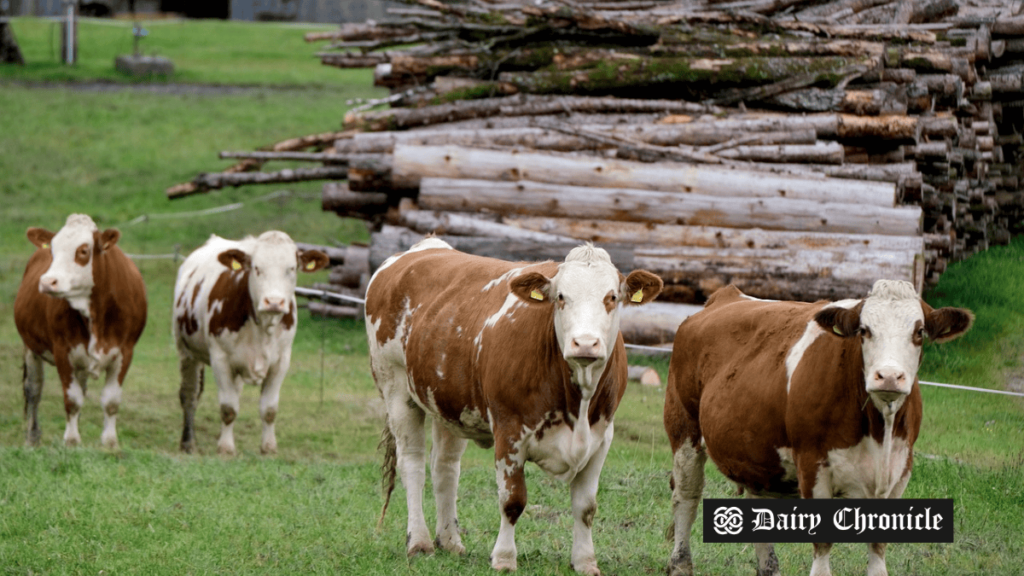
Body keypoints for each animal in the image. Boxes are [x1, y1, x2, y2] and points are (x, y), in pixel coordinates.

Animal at [14, 213, 148, 446]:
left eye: (83, 251)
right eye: (52, 250)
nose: (47, 282)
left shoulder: (125, 351)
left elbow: (111, 400)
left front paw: (110, 443)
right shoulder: (62, 351)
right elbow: (72, 400)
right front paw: (71, 441)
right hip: (31, 347)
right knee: (33, 390)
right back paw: (32, 437)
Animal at [173, 230, 327, 455]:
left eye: (291, 268)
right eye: (256, 268)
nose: (274, 302)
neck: (262, 326)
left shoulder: (281, 361)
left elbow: (269, 409)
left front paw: (269, 448)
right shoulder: (220, 359)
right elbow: (228, 408)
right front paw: (226, 448)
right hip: (187, 352)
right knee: (190, 394)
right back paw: (187, 442)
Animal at [366, 236, 663, 569]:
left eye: (611, 296)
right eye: (561, 297)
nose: (585, 343)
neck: (578, 402)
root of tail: (427, 245)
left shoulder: (602, 437)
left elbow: (586, 507)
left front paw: (586, 561)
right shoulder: (509, 431)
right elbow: (512, 501)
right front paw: (504, 558)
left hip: (449, 403)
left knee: (445, 467)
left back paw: (450, 540)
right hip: (395, 389)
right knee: (413, 464)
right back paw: (419, 542)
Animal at [663, 278, 974, 573]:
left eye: (919, 332)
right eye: (864, 330)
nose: (888, 376)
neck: (878, 430)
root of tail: (726, 295)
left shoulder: (900, 470)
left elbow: (878, 552)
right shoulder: (813, 464)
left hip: (757, 453)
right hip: (684, 429)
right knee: (686, 496)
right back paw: (680, 565)